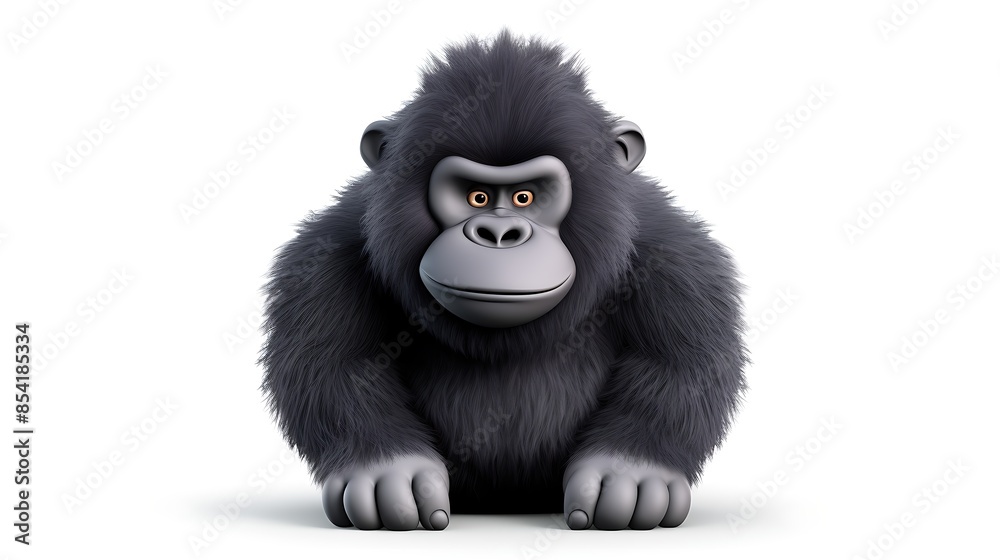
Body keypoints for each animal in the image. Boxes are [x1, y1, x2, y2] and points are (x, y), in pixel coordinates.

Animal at [261, 30, 747, 531]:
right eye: (475, 196)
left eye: (525, 196)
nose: (498, 234)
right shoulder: (324, 260)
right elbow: (332, 364)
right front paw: (386, 470)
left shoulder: (675, 259)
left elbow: (683, 361)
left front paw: (630, 470)